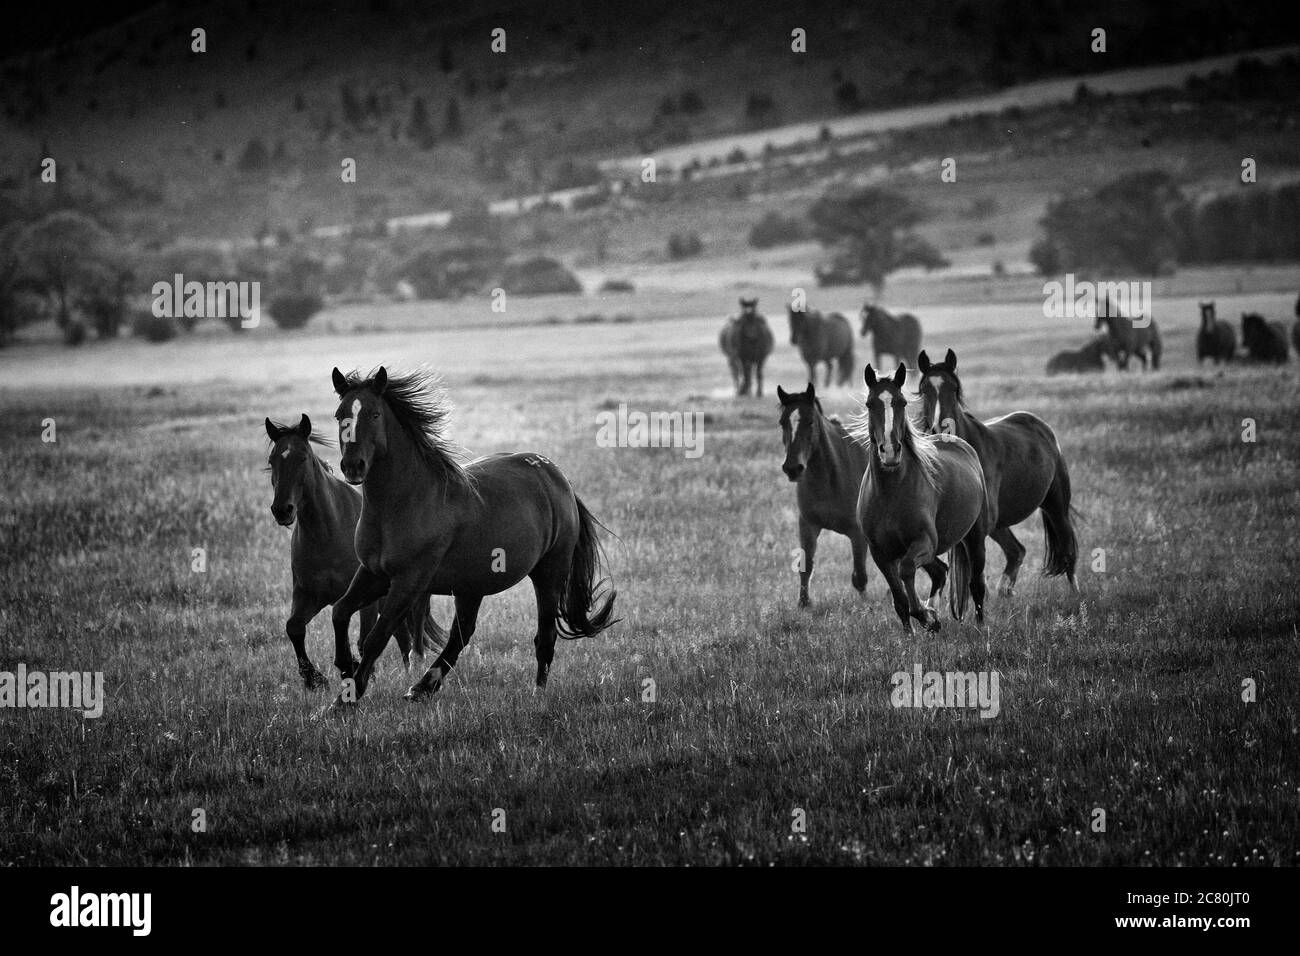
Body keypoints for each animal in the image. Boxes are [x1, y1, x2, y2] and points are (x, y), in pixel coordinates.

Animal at [265, 416, 447, 691]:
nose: (282, 510)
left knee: (414, 631)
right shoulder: (309, 595)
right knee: (402, 635)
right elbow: (294, 628)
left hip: (413, 594)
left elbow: (363, 640)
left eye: (303, 457)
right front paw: (314, 679)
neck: (327, 534)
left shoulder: (365, 599)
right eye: (272, 460)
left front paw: (354, 672)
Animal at [332, 364, 621, 702]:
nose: (353, 466)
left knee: (544, 635)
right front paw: (344, 668)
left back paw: (537, 692)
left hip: (550, 571)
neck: (404, 502)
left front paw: (346, 698)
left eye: (375, 414)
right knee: (462, 633)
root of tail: (558, 477)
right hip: (471, 584)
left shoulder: (408, 581)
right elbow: (340, 611)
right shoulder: (372, 573)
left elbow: (378, 636)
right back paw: (422, 687)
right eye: (340, 415)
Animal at [774, 382, 868, 606]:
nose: (793, 468)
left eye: (810, 421)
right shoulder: (808, 526)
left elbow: (860, 576)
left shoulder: (857, 532)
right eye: (782, 423)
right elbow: (806, 567)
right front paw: (804, 604)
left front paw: (866, 605)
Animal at [847, 366, 987, 634]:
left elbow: (907, 570)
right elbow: (899, 598)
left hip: (974, 537)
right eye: (870, 404)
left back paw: (979, 627)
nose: (890, 452)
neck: (890, 494)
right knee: (940, 572)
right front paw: (913, 630)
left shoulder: (923, 542)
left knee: (976, 584)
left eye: (901, 403)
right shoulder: (880, 553)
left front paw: (926, 616)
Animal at [920, 343, 1081, 598]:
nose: (939, 428)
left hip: (1056, 504)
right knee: (1017, 551)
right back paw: (1005, 589)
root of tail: (1040, 425)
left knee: (1067, 547)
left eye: (953, 389)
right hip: (1001, 524)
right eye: (924, 390)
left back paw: (1075, 594)